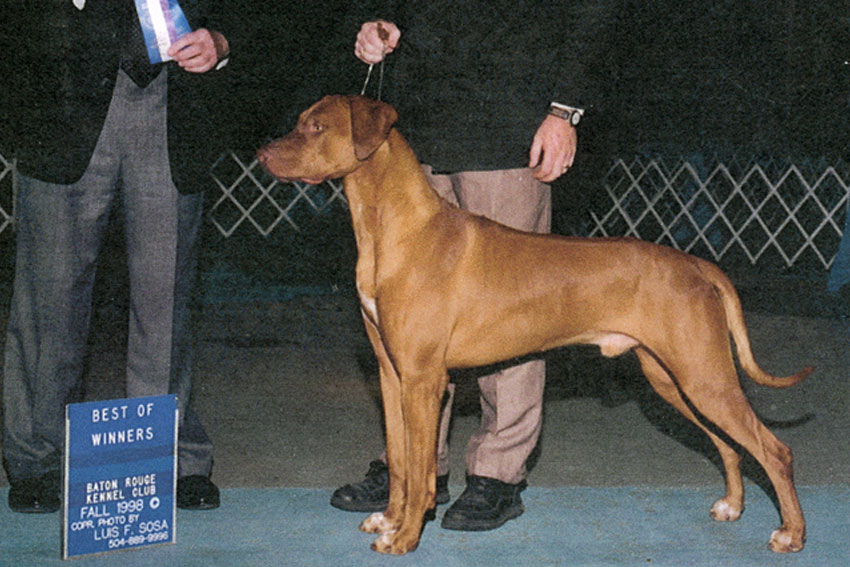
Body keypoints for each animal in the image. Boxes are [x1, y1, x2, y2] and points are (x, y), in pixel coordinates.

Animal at [255, 96, 812, 556]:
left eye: (316, 127)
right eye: (301, 122)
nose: (261, 153)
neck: (395, 230)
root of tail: (695, 264)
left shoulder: (423, 380)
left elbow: (421, 473)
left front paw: (407, 536)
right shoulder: (392, 375)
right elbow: (399, 463)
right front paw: (389, 519)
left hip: (703, 376)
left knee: (775, 450)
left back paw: (791, 533)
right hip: (672, 380)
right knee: (728, 443)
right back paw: (732, 505)